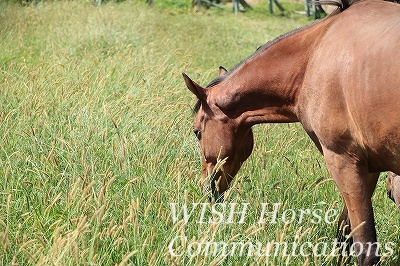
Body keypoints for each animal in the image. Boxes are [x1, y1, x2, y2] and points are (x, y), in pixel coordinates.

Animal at [184, 0, 400, 264]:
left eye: (197, 132)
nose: (207, 190)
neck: (313, 56)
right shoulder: (369, 168)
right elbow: (344, 233)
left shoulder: (344, 161)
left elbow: (364, 247)